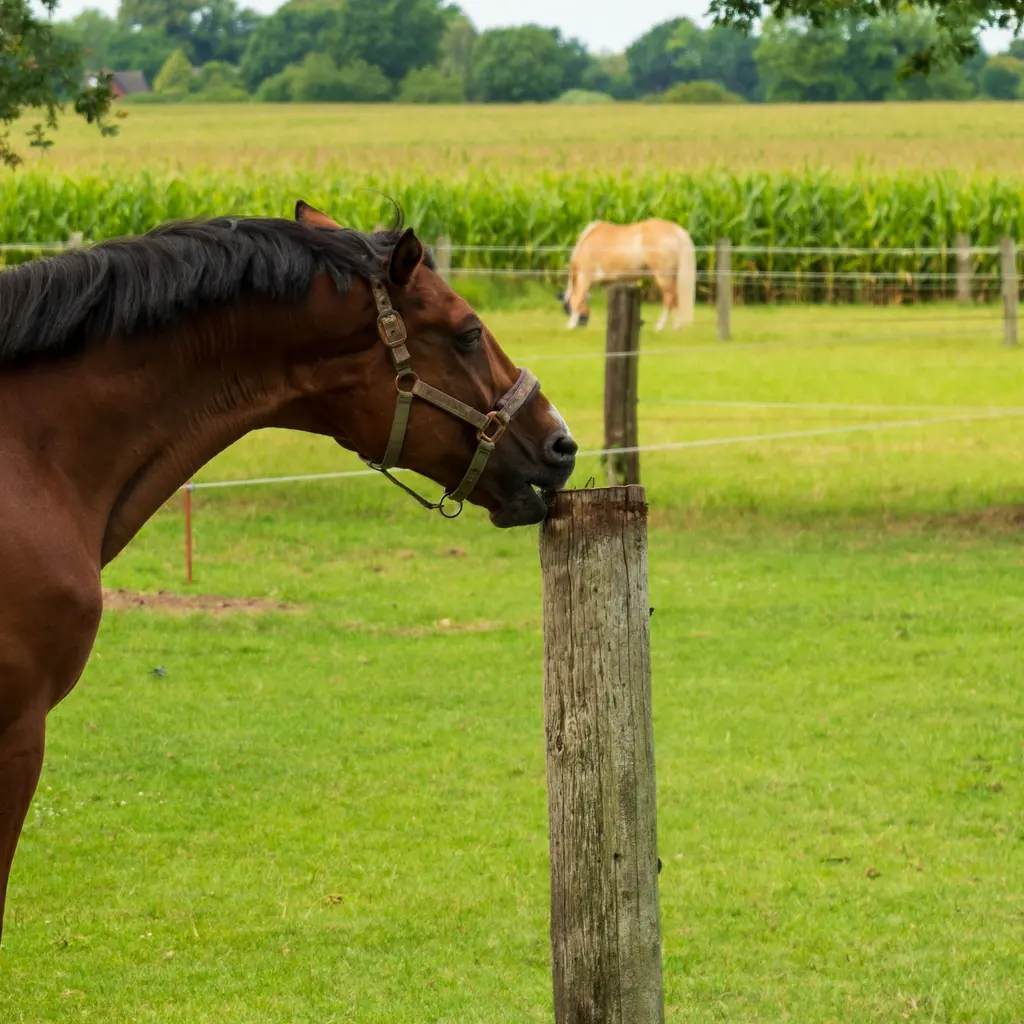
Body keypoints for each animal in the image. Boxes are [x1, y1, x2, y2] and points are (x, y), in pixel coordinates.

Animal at [561, 218, 697, 331]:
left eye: (566, 308)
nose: (584, 324)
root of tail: (676, 230)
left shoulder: (585, 277)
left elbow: (578, 299)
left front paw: (570, 325)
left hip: (663, 277)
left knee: (670, 298)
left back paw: (661, 326)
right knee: (675, 299)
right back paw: (676, 326)